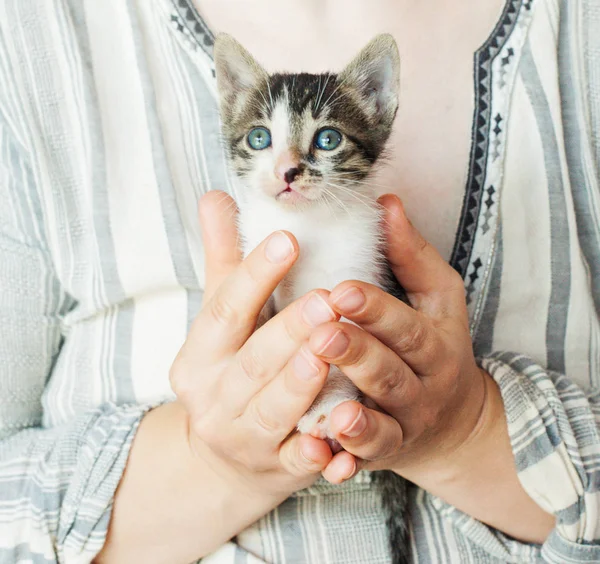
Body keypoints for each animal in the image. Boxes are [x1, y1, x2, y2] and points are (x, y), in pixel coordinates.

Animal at [213, 33, 410, 560]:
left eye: (327, 139)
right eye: (260, 138)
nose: (287, 171)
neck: (308, 225)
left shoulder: (362, 271)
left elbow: (339, 340)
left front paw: (328, 404)